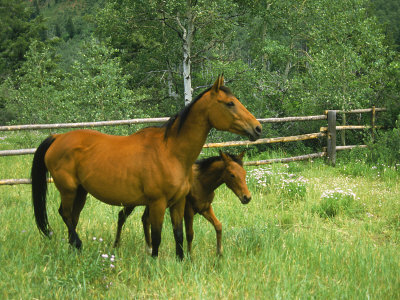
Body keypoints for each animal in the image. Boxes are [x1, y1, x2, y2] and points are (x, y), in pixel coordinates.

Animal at [112, 151, 250, 254]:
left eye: (244, 173)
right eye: (232, 175)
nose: (247, 197)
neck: (201, 182)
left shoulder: (205, 208)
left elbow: (218, 226)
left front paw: (219, 254)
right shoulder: (188, 210)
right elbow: (189, 234)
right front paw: (190, 257)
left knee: (144, 219)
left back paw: (149, 248)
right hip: (133, 202)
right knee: (122, 216)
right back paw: (116, 246)